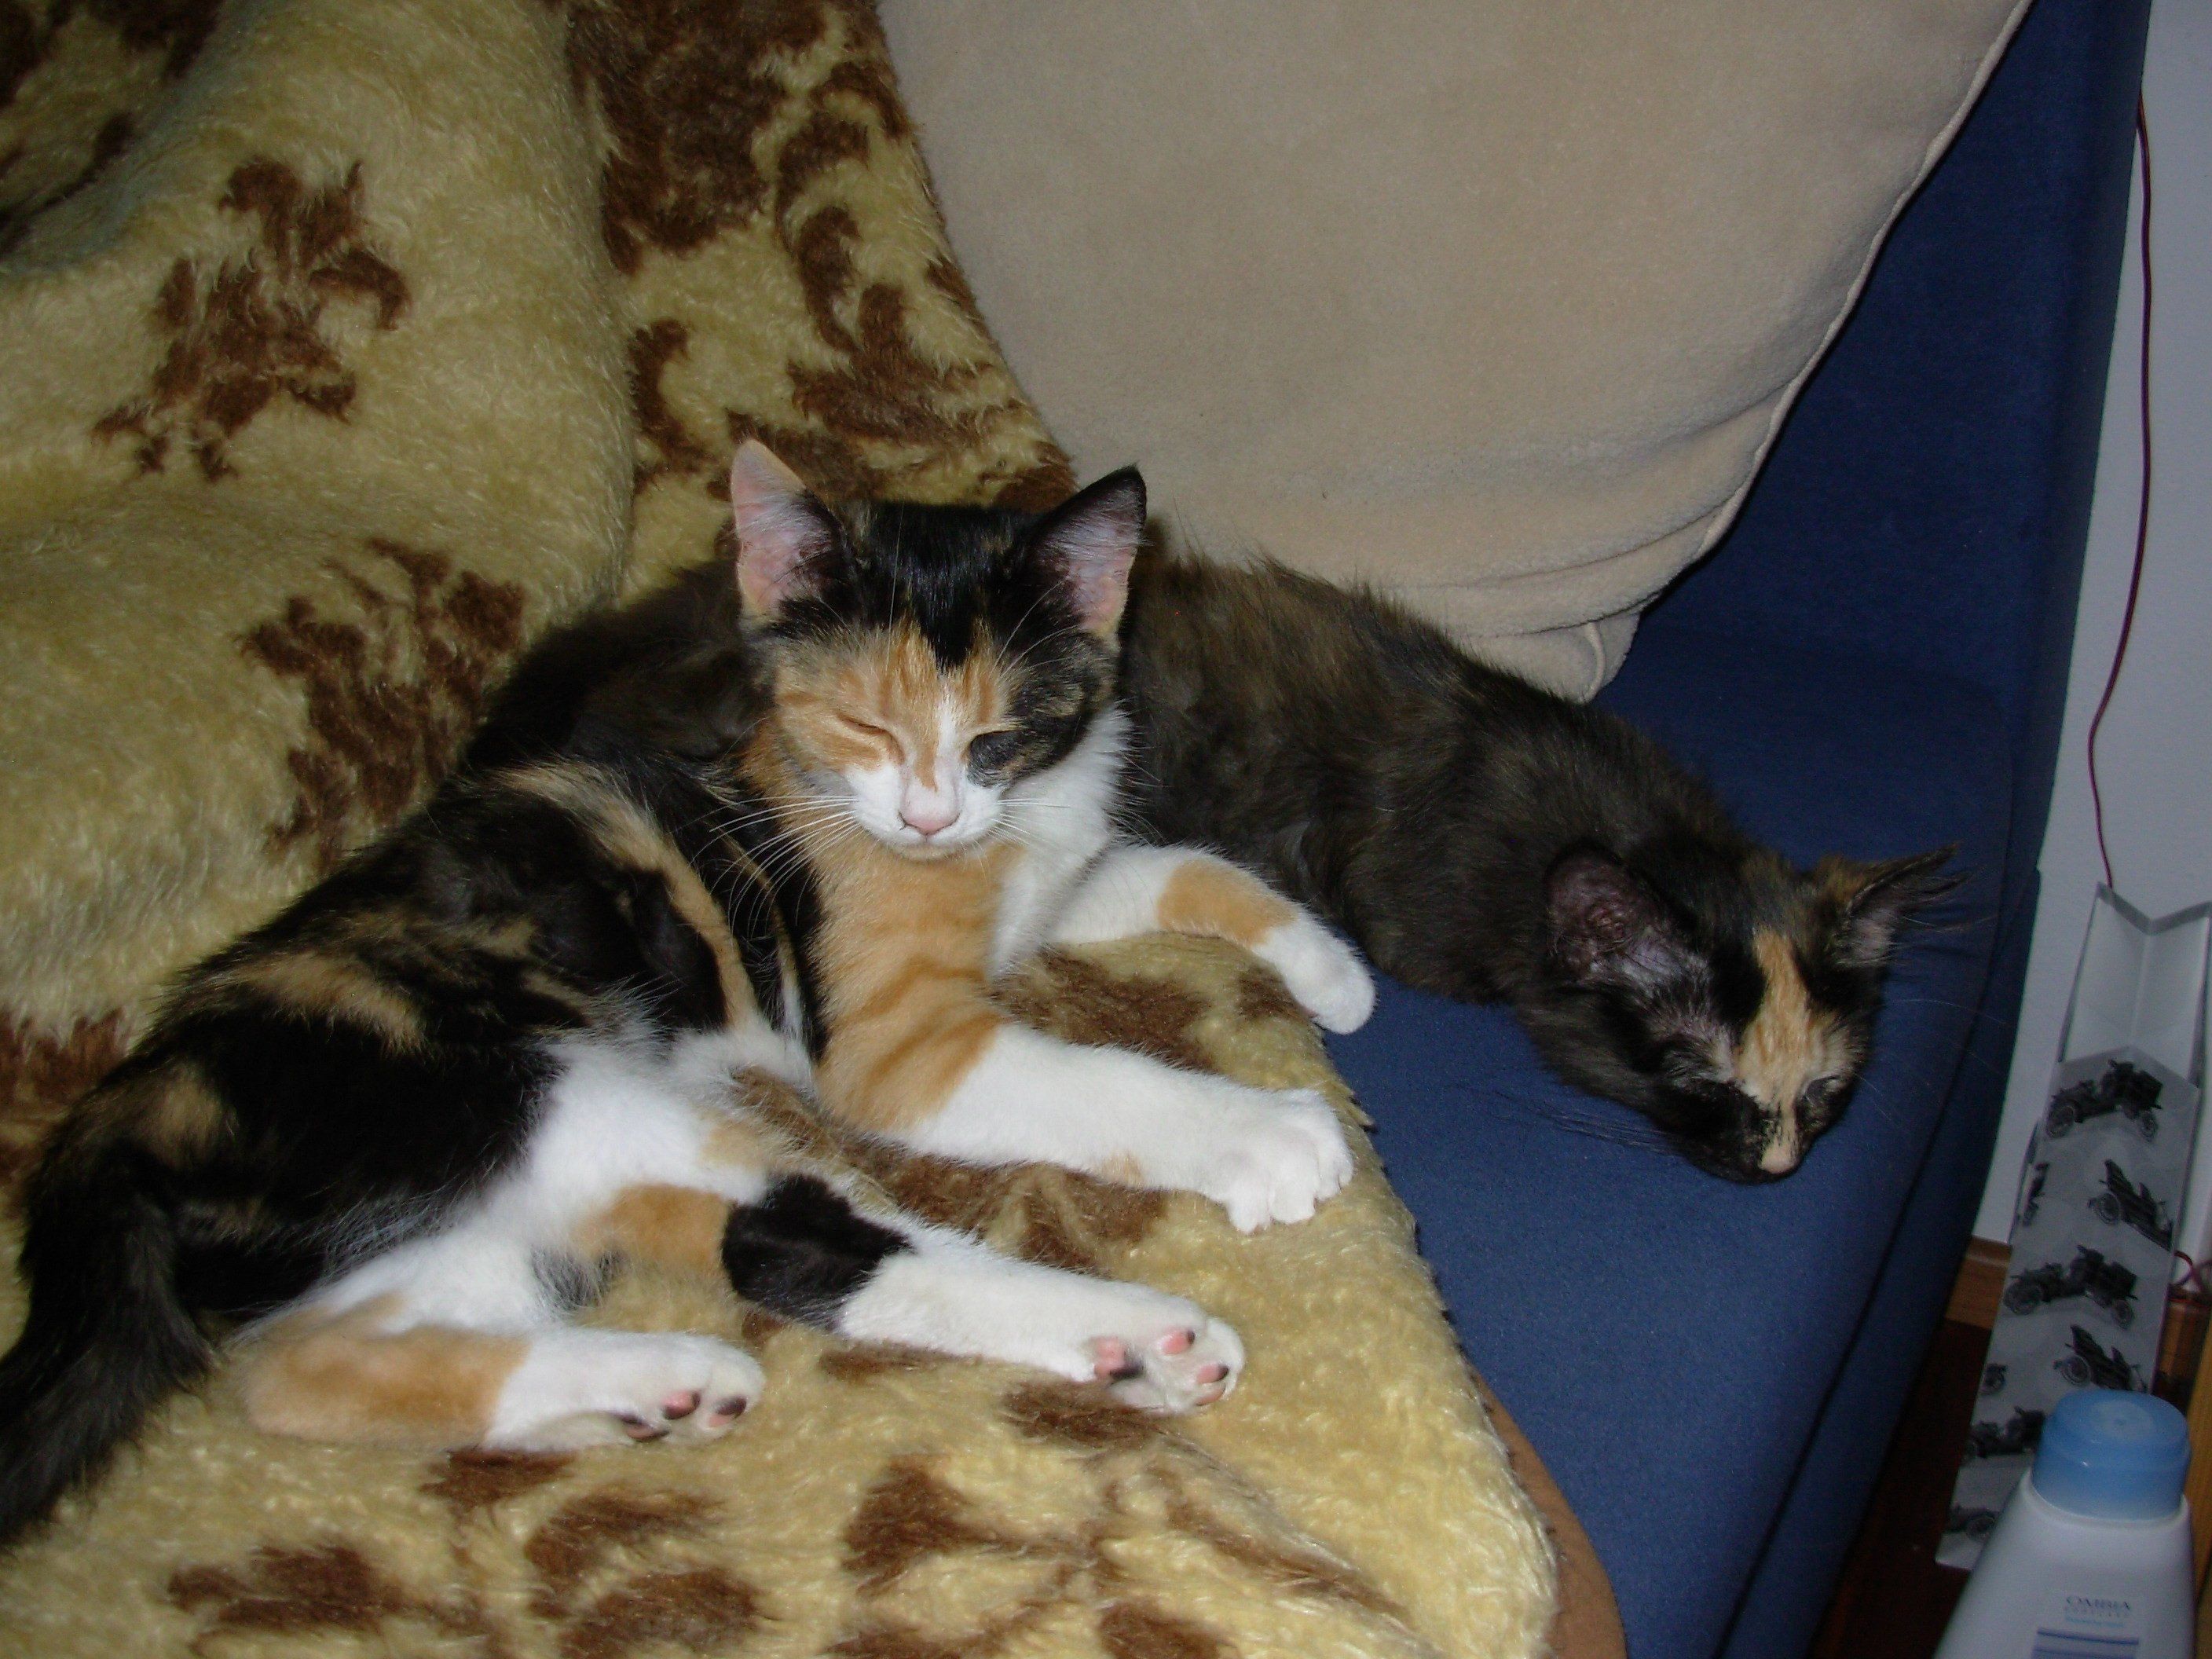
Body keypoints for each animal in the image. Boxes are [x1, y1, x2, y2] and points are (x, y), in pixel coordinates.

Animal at [0, 444, 1374, 1547]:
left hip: (454, 1219)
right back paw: (1144, 1337)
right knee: (799, 1245)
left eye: (996, 736)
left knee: (304, 1369)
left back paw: (648, 1388)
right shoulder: (898, 1047)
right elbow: (1096, 1080)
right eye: (867, 727)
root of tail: (127, 1110)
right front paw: (1267, 1134)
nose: (930, 816)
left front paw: (1333, 972)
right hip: (534, 1084)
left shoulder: (1039, 867)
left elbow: (1158, 864)